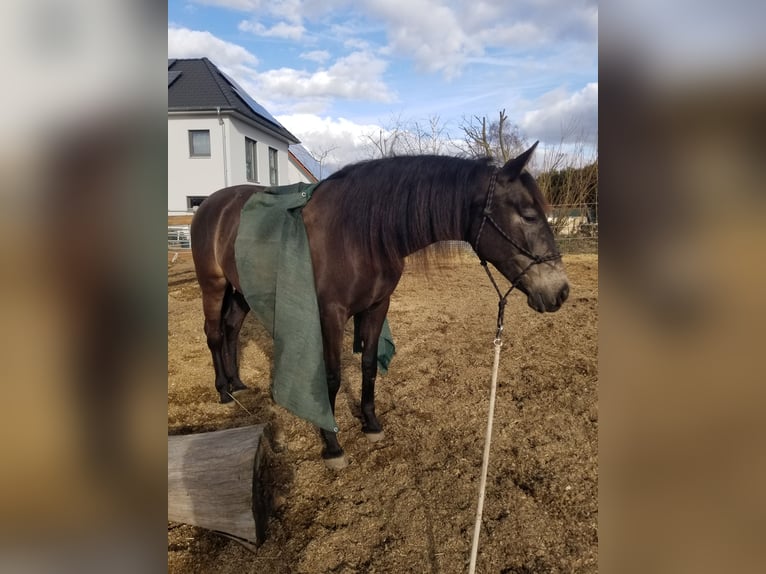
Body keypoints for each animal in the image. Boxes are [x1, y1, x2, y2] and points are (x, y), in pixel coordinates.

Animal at [191, 143, 568, 468]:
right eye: (529, 215)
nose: (561, 291)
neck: (357, 233)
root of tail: (210, 205)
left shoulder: (376, 307)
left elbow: (369, 366)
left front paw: (370, 423)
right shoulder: (330, 314)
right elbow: (331, 377)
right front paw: (332, 444)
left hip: (243, 290)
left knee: (231, 328)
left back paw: (237, 383)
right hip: (213, 285)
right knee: (213, 333)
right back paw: (223, 390)